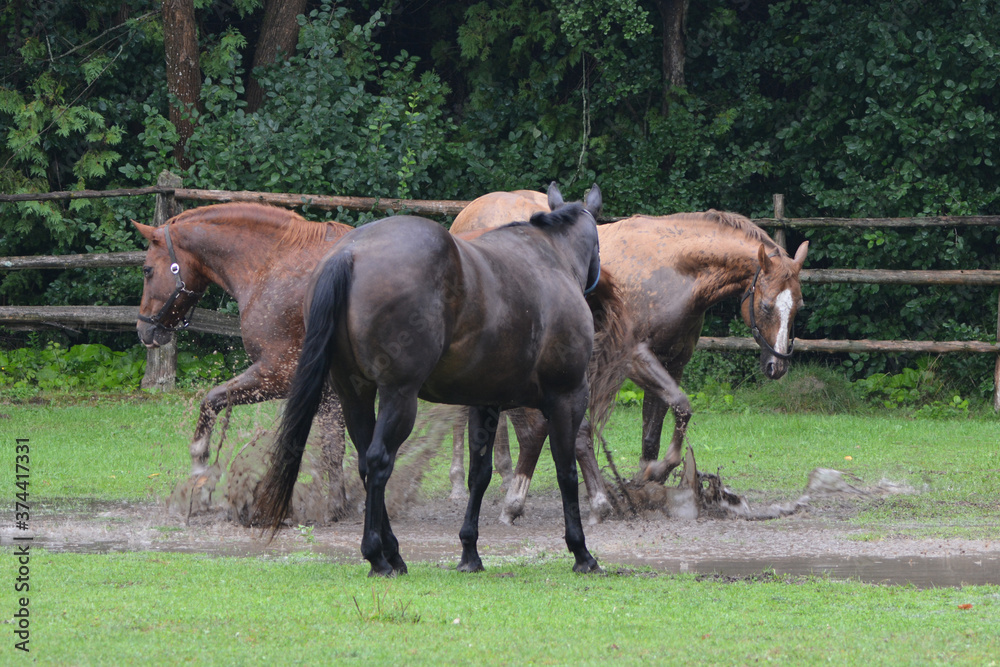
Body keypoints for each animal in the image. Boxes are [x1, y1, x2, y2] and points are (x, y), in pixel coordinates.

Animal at [134, 203, 353, 517]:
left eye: (147, 270)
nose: (143, 330)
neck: (274, 265)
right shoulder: (327, 388)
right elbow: (333, 446)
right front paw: (336, 505)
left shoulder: (278, 375)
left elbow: (210, 401)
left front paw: (200, 476)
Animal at [253, 183, 608, 576]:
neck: (552, 260)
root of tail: (350, 252)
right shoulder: (567, 398)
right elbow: (566, 472)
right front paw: (581, 552)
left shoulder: (486, 403)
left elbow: (480, 474)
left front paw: (470, 552)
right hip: (399, 398)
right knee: (378, 461)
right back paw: (377, 555)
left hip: (354, 395)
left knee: (364, 463)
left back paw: (393, 553)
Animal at [452, 195, 809, 523]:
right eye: (766, 306)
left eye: (799, 306)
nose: (777, 366)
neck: (673, 271)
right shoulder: (634, 359)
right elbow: (682, 405)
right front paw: (652, 475)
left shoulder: (672, 364)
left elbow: (654, 431)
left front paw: (648, 479)